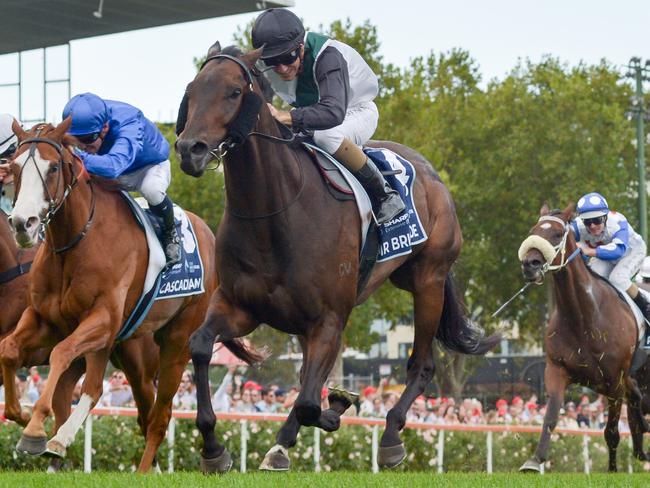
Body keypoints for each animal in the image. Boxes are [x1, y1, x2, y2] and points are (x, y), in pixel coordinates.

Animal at [1, 119, 225, 472]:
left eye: (53, 168)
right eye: (15, 166)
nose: (23, 224)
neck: (75, 241)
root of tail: (208, 233)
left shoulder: (102, 319)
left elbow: (60, 354)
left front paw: (34, 428)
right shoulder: (45, 319)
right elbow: (8, 349)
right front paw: (21, 415)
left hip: (173, 343)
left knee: (158, 415)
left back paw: (144, 469)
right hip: (117, 346)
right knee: (100, 392)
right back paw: (61, 441)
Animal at [172, 43, 496, 472]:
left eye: (233, 92)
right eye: (191, 91)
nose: (189, 149)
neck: (272, 213)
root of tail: (430, 173)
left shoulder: (328, 319)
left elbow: (310, 401)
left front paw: (337, 406)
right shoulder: (241, 307)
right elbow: (201, 346)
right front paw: (213, 448)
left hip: (429, 279)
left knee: (422, 364)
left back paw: (390, 437)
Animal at [516, 203, 648, 472]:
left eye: (557, 234)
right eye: (533, 231)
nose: (530, 264)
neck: (583, 317)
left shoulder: (614, 381)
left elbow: (611, 432)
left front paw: (612, 471)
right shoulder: (556, 370)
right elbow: (550, 417)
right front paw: (535, 459)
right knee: (636, 398)